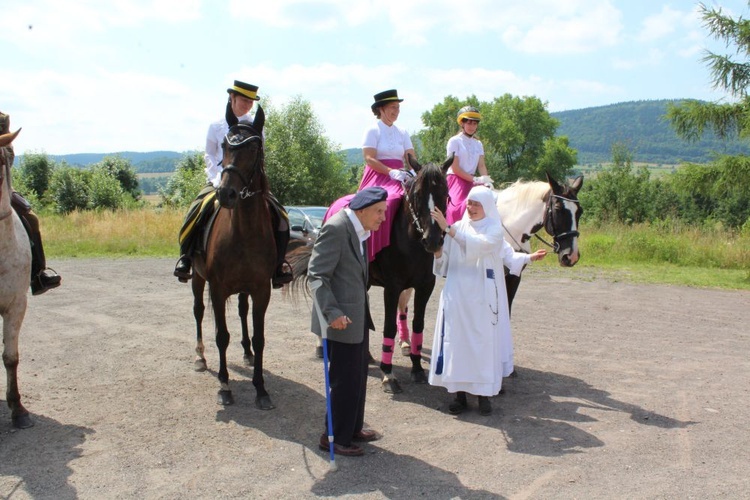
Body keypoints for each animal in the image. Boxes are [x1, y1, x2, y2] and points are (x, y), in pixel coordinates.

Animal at [191, 106, 280, 410]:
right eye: (225, 145)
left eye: (254, 148)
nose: (226, 193)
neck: (244, 232)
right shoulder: (217, 289)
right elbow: (221, 336)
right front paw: (225, 386)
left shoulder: (262, 289)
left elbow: (260, 336)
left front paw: (261, 389)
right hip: (197, 278)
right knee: (198, 311)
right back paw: (200, 357)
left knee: (242, 312)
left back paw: (247, 354)